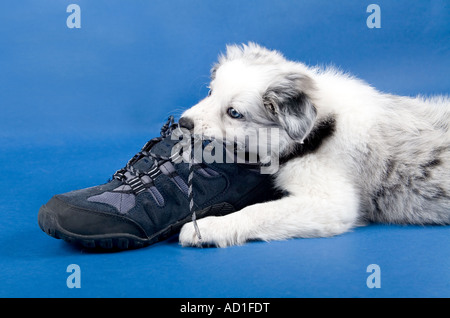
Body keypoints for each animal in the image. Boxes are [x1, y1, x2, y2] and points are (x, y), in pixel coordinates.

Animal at [178, 42, 448, 247]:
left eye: (234, 113)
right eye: (210, 92)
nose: (182, 123)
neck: (318, 129)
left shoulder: (331, 202)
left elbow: (258, 211)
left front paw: (206, 227)